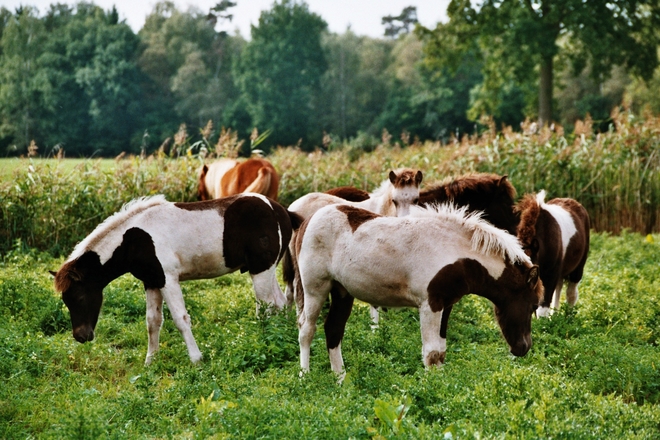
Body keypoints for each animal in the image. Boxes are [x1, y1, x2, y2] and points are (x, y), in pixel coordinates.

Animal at [51, 193, 302, 364]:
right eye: (66, 300)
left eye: (80, 297)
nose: (81, 336)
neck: (133, 239)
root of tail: (281, 210)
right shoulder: (152, 281)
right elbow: (152, 321)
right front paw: (150, 361)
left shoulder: (168, 279)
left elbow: (181, 319)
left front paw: (196, 359)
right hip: (266, 269)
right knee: (280, 303)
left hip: (261, 269)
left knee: (267, 307)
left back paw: (265, 344)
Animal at [294, 204, 540, 378]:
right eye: (533, 306)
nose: (524, 348)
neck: (454, 252)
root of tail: (307, 222)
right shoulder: (430, 304)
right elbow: (431, 353)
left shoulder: (446, 305)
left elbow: (440, 352)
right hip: (315, 288)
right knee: (306, 329)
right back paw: (304, 376)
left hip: (342, 291)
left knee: (333, 329)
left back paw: (341, 381)